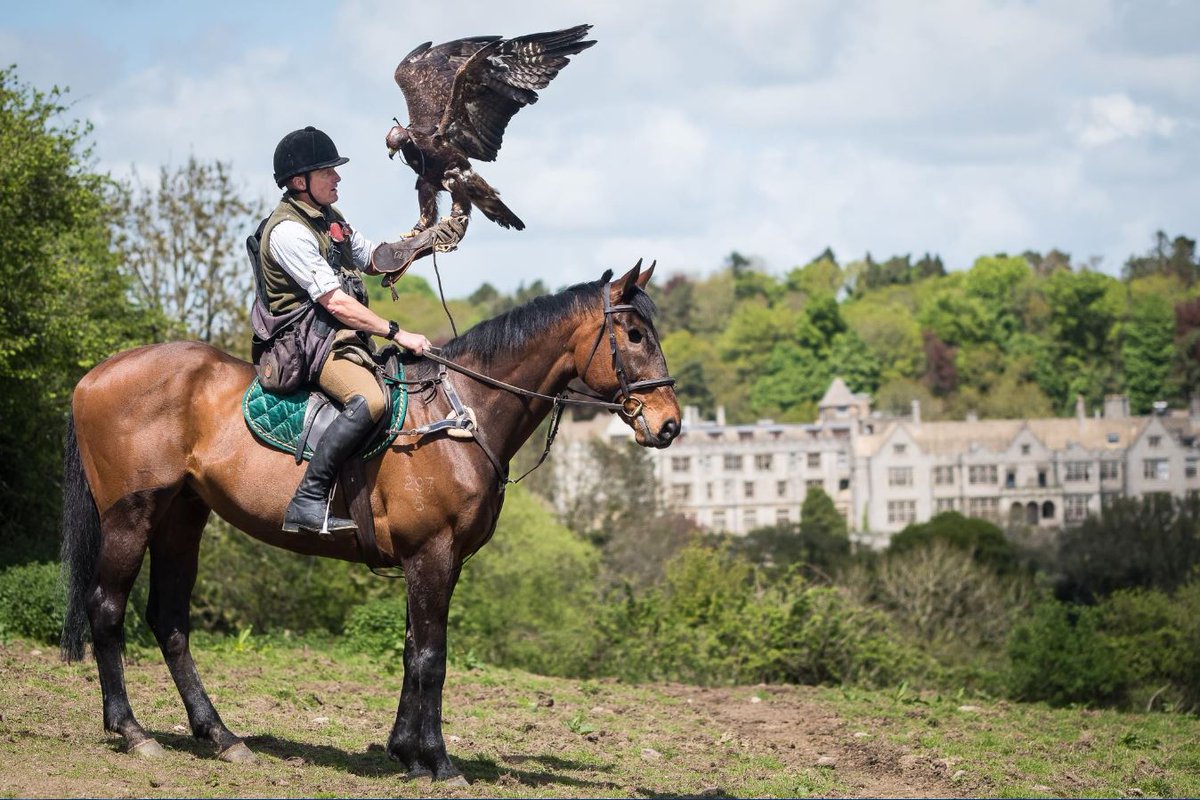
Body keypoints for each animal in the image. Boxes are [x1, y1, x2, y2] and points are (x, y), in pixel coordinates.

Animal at [58, 262, 680, 783]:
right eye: (635, 336)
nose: (670, 425)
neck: (458, 414)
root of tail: (93, 377)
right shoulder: (432, 554)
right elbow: (431, 657)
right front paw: (439, 763)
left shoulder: (434, 561)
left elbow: (411, 651)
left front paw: (407, 753)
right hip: (132, 516)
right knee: (106, 608)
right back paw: (132, 730)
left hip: (183, 518)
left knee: (169, 621)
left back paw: (220, 736)